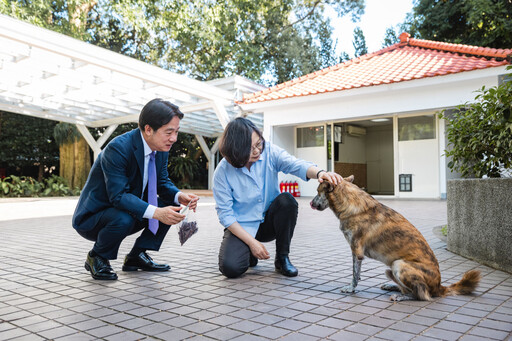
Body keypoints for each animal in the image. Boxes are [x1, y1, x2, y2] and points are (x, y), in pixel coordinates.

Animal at [310, 175, 482, 300]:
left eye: (318, 193)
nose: (311, 203)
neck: (351, 204)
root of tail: (439, 287)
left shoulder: (356, 252)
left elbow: (355, 275)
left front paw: (351, 288)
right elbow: (356, 274)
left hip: (399, 264)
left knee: (421, 294)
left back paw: (401, 296)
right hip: (391, 269)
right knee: (408, 288)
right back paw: (393, 287)